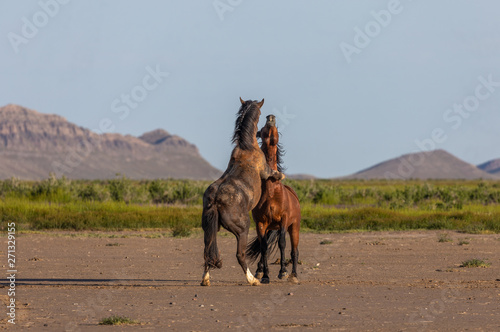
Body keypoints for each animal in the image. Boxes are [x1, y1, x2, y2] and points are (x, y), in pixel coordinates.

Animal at [200, 98, 286, 286]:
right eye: (260, 113)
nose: (269, 117)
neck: (247, 147)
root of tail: (216, 200)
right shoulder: (265, 171)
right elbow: (273, 173)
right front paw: (281, 175)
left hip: (209, 229)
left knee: (207, 251)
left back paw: (205, 279)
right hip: (242, 229)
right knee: (240, 255)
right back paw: (253, 279)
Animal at [247, 115, 300, 284]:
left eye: (277, 129)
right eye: (262, 129)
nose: (270, 117)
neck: (272, 191)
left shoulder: (284, 219)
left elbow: (282, 243)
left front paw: (283, 271)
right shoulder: (261, 223)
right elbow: (263, 247)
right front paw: (265, 275)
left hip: (294, 226)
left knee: (294, 251)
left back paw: (294, 275)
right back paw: (259, 270)